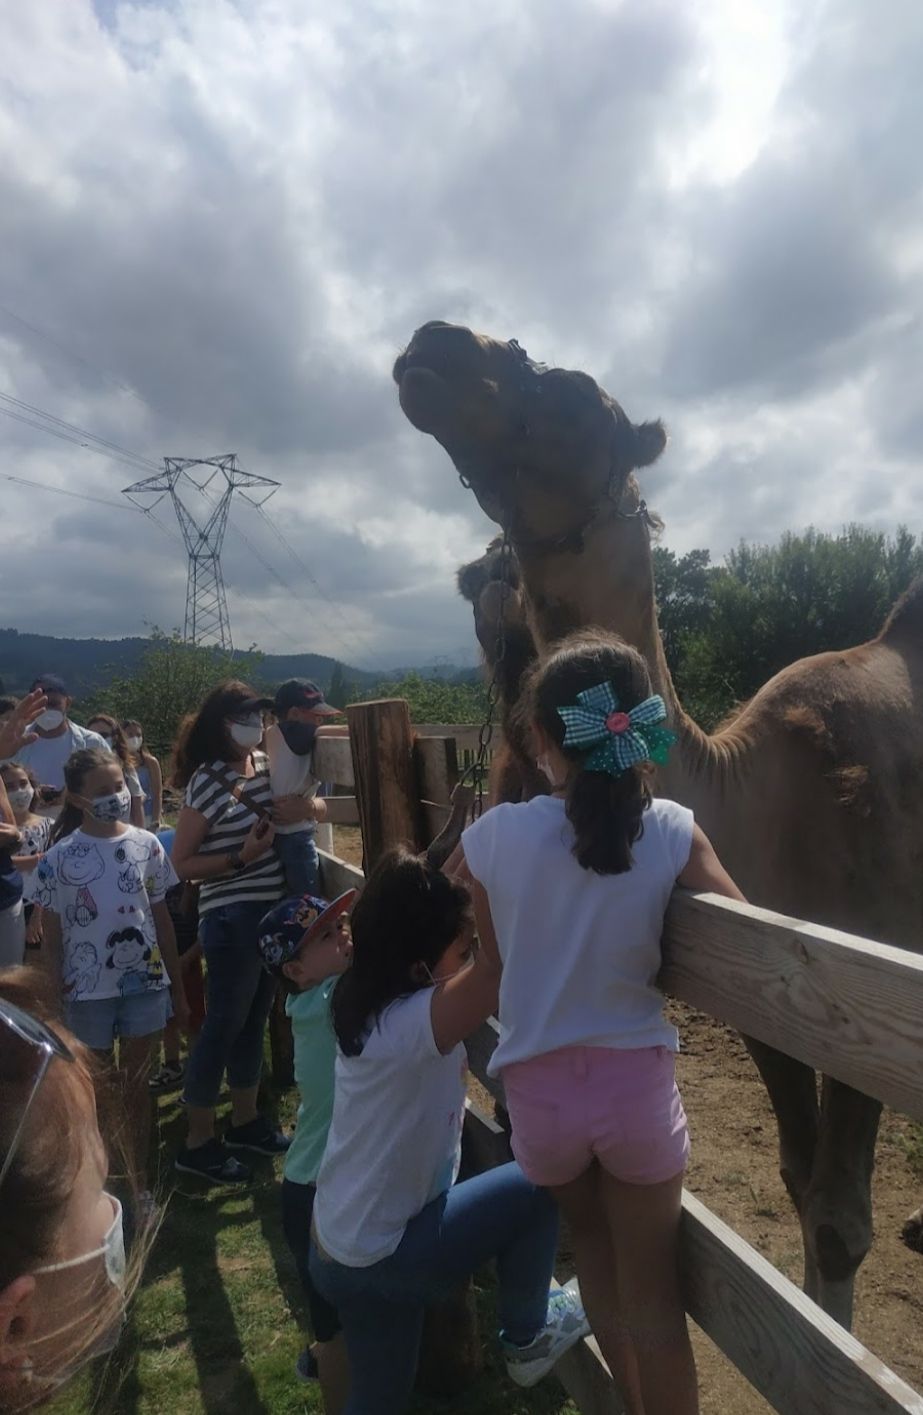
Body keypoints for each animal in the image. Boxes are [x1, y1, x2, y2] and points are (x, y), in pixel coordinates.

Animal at [393, 318, 923, 1324]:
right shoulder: (768, 999)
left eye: (573, 394)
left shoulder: (866, 987)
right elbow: (803, 1184)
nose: (434, 344)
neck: (761, 800)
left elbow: (839, 1219)